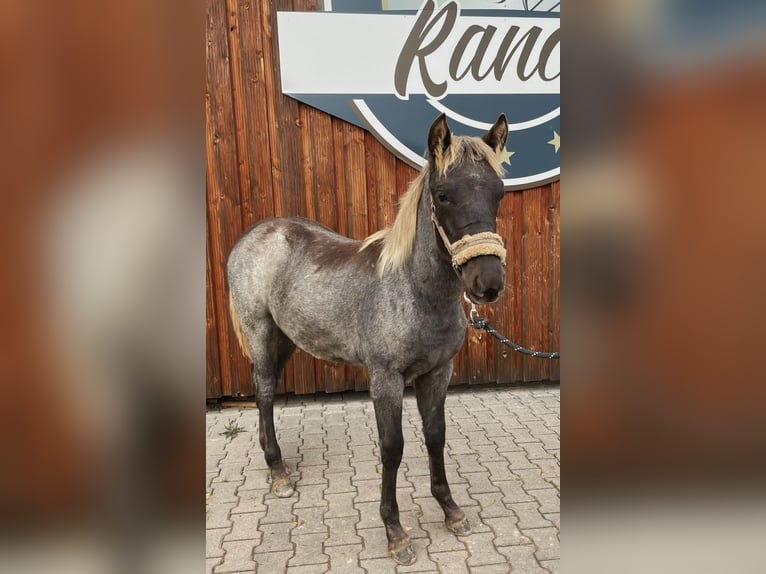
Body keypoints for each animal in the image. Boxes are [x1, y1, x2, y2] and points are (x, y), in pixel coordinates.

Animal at [227, 113, 509, 565]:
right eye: (443, 194)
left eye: (498, 194)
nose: (487, 283)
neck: (414, 291)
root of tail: (252, 234)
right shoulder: (386, 380)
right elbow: (392, 447)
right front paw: (395, 532)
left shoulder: (437, 373)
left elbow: (436, 437)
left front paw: (451, 510)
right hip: (261, 332)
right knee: (265, 392)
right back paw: (278, 472)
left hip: (287, 338)